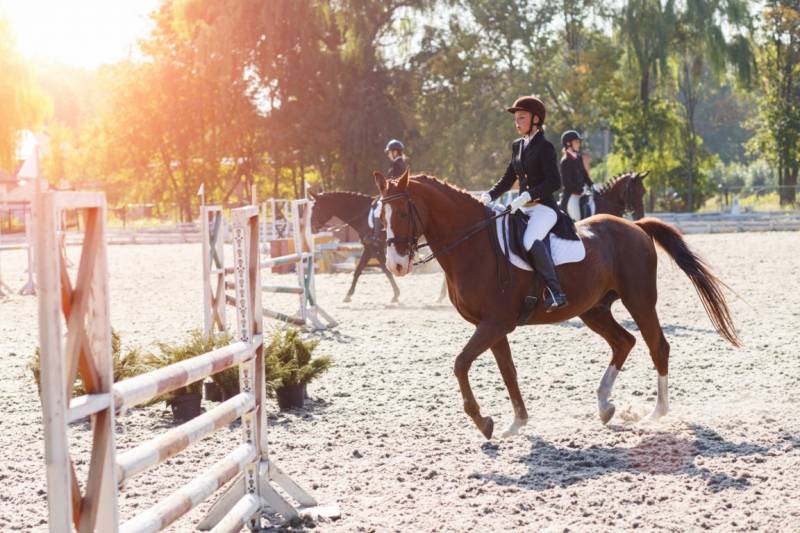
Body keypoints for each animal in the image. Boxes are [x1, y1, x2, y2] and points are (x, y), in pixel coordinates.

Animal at [374, 169, 740, 440]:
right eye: (382, 218)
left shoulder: (494, 324)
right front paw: (516, 422)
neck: (473, 244)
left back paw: (656, 412)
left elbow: (461, 363)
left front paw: (483, 421)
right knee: (624, 341)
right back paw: (605, 405)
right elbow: (507, 371)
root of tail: (634, 227)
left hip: (639, 300)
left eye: (404, 212)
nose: (396, 265)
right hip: (593, 309)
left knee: (657, 346)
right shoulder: (493, 326)